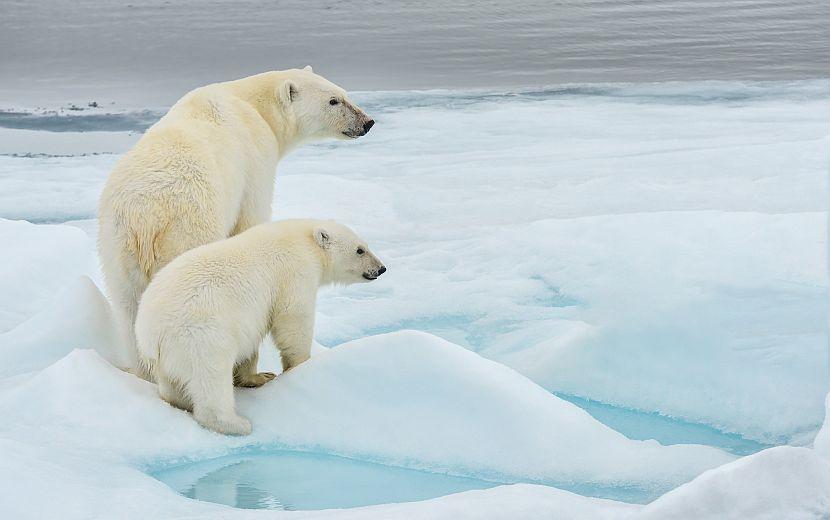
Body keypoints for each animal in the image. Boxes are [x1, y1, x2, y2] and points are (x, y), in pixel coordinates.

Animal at [98, 69, 374, 378]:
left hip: (116, 247)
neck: (250, 102)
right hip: (188, 229)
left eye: (344, 93)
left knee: (128, 308)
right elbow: (252, 219)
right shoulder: (256, 158)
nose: (367, 122)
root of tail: (145, 217)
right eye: (333, 101)